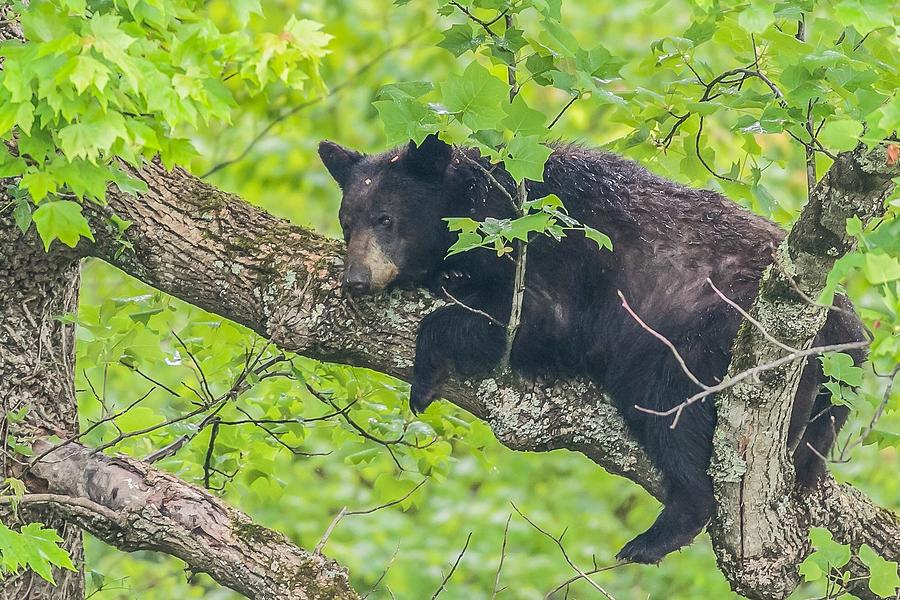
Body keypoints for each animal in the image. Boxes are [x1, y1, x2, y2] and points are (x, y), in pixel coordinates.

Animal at [320, 134, 868, 564]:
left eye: (385, 219)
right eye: (347, 221)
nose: (356, 280)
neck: (476, 202)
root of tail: (845, 328)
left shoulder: (549, 246)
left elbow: (535, 319)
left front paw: (424, 378)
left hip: (712, 334)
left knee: (669, 409)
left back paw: (657, 533)